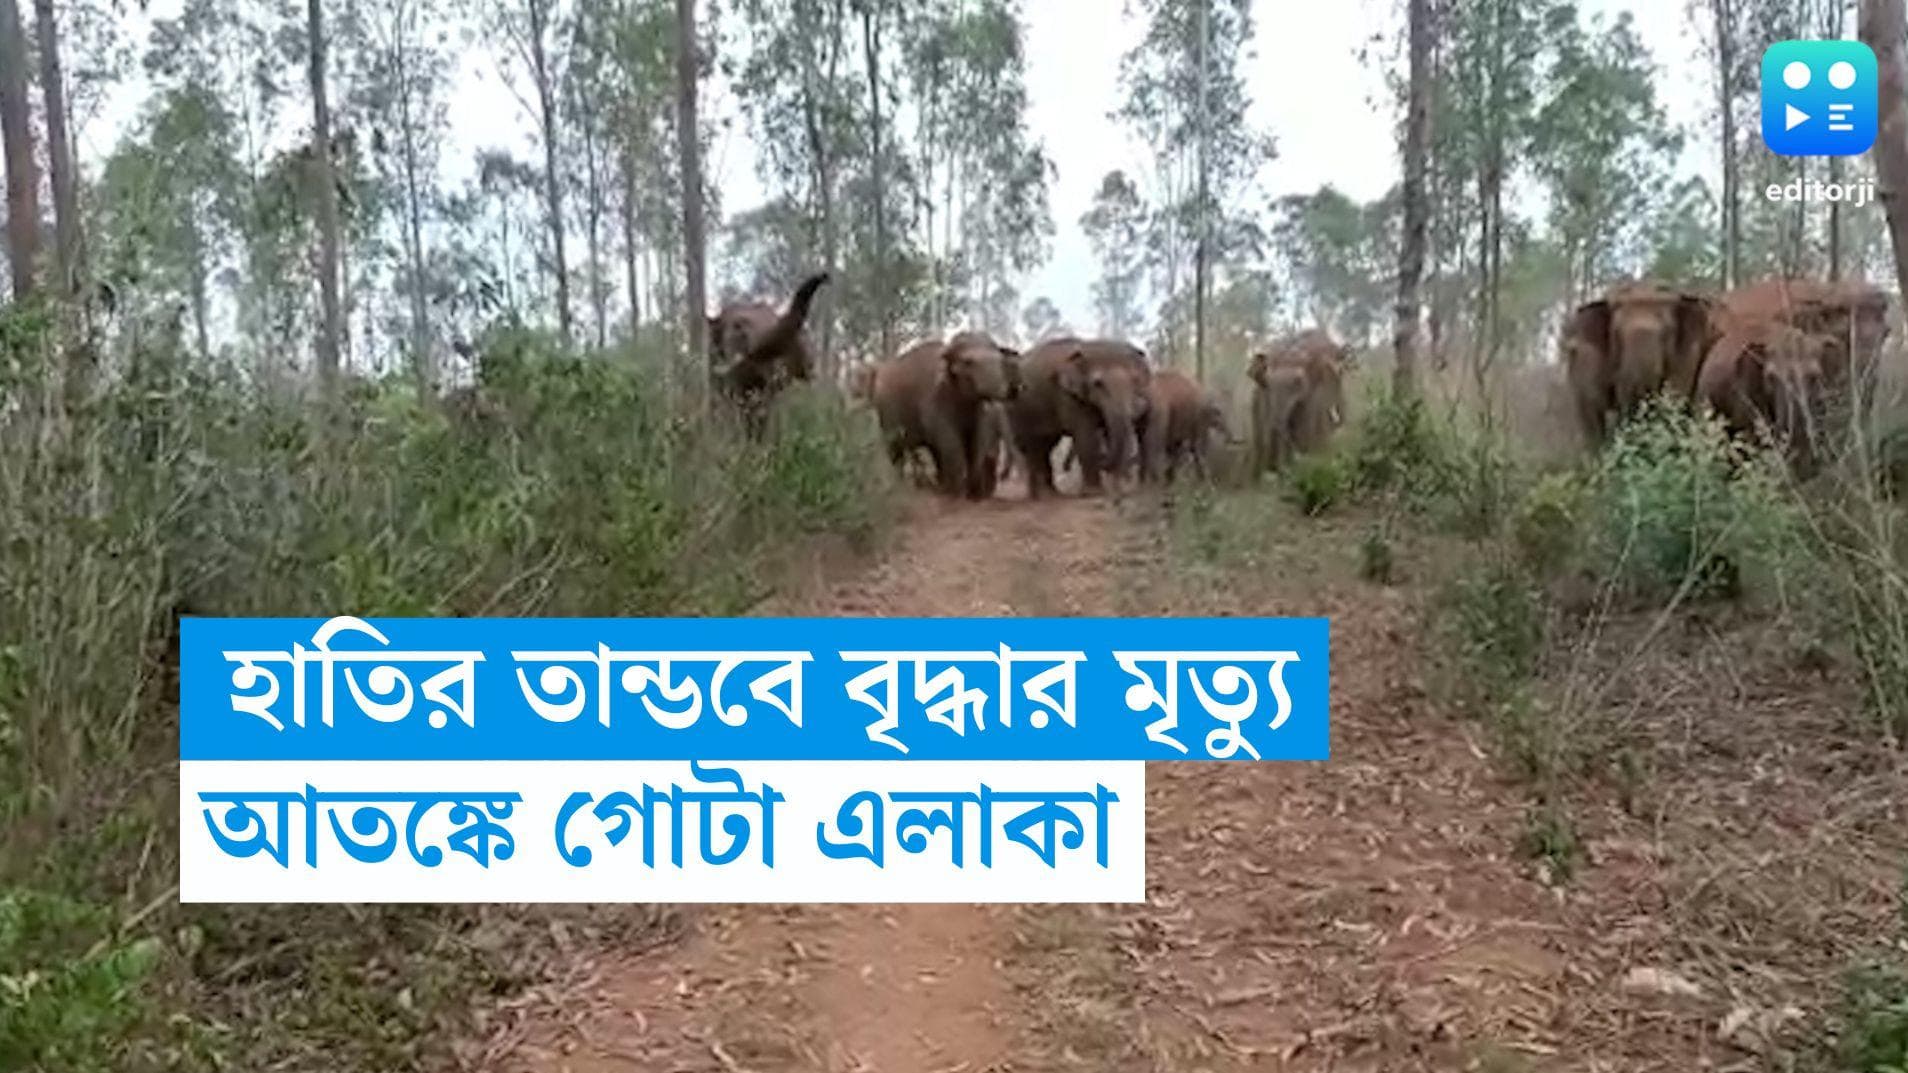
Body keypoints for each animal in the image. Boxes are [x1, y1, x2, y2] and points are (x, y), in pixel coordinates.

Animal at [872, 331, 1020, 499]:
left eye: (1001, 360)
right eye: (968, 362)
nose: (1014, 390)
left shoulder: (978, 411)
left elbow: (977, 440)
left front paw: (974, 495)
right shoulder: (934, 399)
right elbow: (950, 440)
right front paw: (958, 494)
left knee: (934, 451)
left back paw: (940, 486)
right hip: (886, 413)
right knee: (895, 449)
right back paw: (902, 487)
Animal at [1007, 337, 1152, 499]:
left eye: (1135, 380)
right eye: (1098, 384)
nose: (1102, 458)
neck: (1086, 346)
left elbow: (1110, 431)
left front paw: (1119, 490)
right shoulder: (1068, 396)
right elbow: (1086, 435)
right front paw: (1093, 493)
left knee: (1046, 445)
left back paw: (1048, 493)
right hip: (1019, 411)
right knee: (1034, 446)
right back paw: (1044, 495)